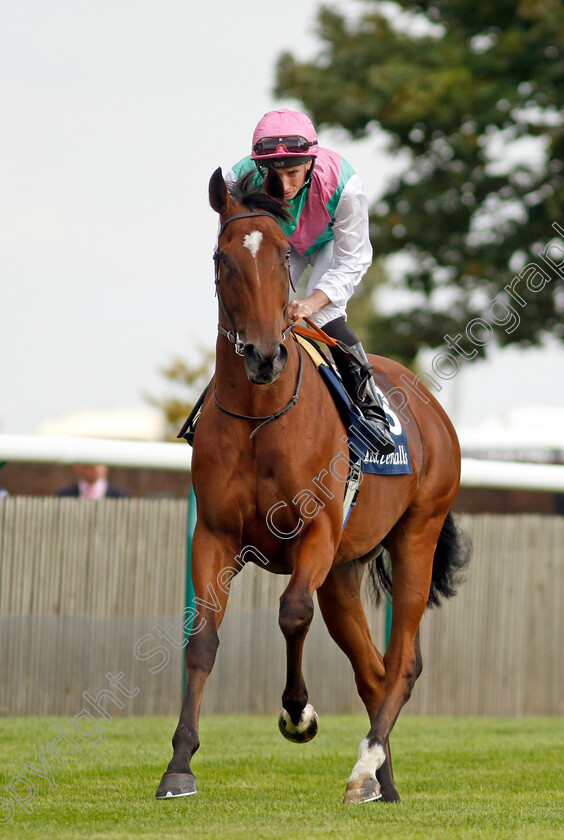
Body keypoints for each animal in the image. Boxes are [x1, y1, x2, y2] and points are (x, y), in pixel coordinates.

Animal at [156, 167, 470, 804]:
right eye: (223, 258)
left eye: (282, 256)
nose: (264, 354)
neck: (262, 415)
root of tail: (431, 407)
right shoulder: (215, 535)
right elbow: (201, 640)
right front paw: (179, 764)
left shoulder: (317, 533)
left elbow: (291, 613)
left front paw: (298, 714)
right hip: (344, 574)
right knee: (373, 671)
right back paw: (380, 781)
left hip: (416, 537)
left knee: (402, 662)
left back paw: (365, 765)